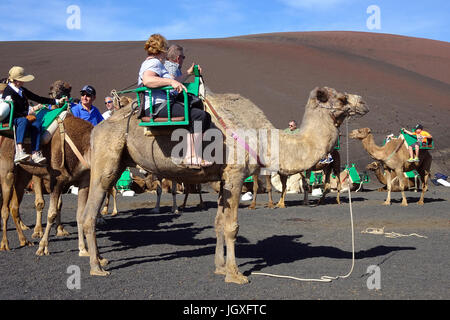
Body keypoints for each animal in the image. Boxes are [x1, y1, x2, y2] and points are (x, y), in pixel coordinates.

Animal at [80, 85, 370, 282]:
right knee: (90, 213)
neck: (263, 137)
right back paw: (97, 267)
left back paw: (100, 258)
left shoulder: (222, 180)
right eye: (341, 98)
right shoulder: (235, 174)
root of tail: (97, 128)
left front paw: (219, 267)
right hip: (107, 159)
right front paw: (235, 274)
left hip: (119, 161)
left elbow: (219, 223)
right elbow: (232, 227)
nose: (364, 103)